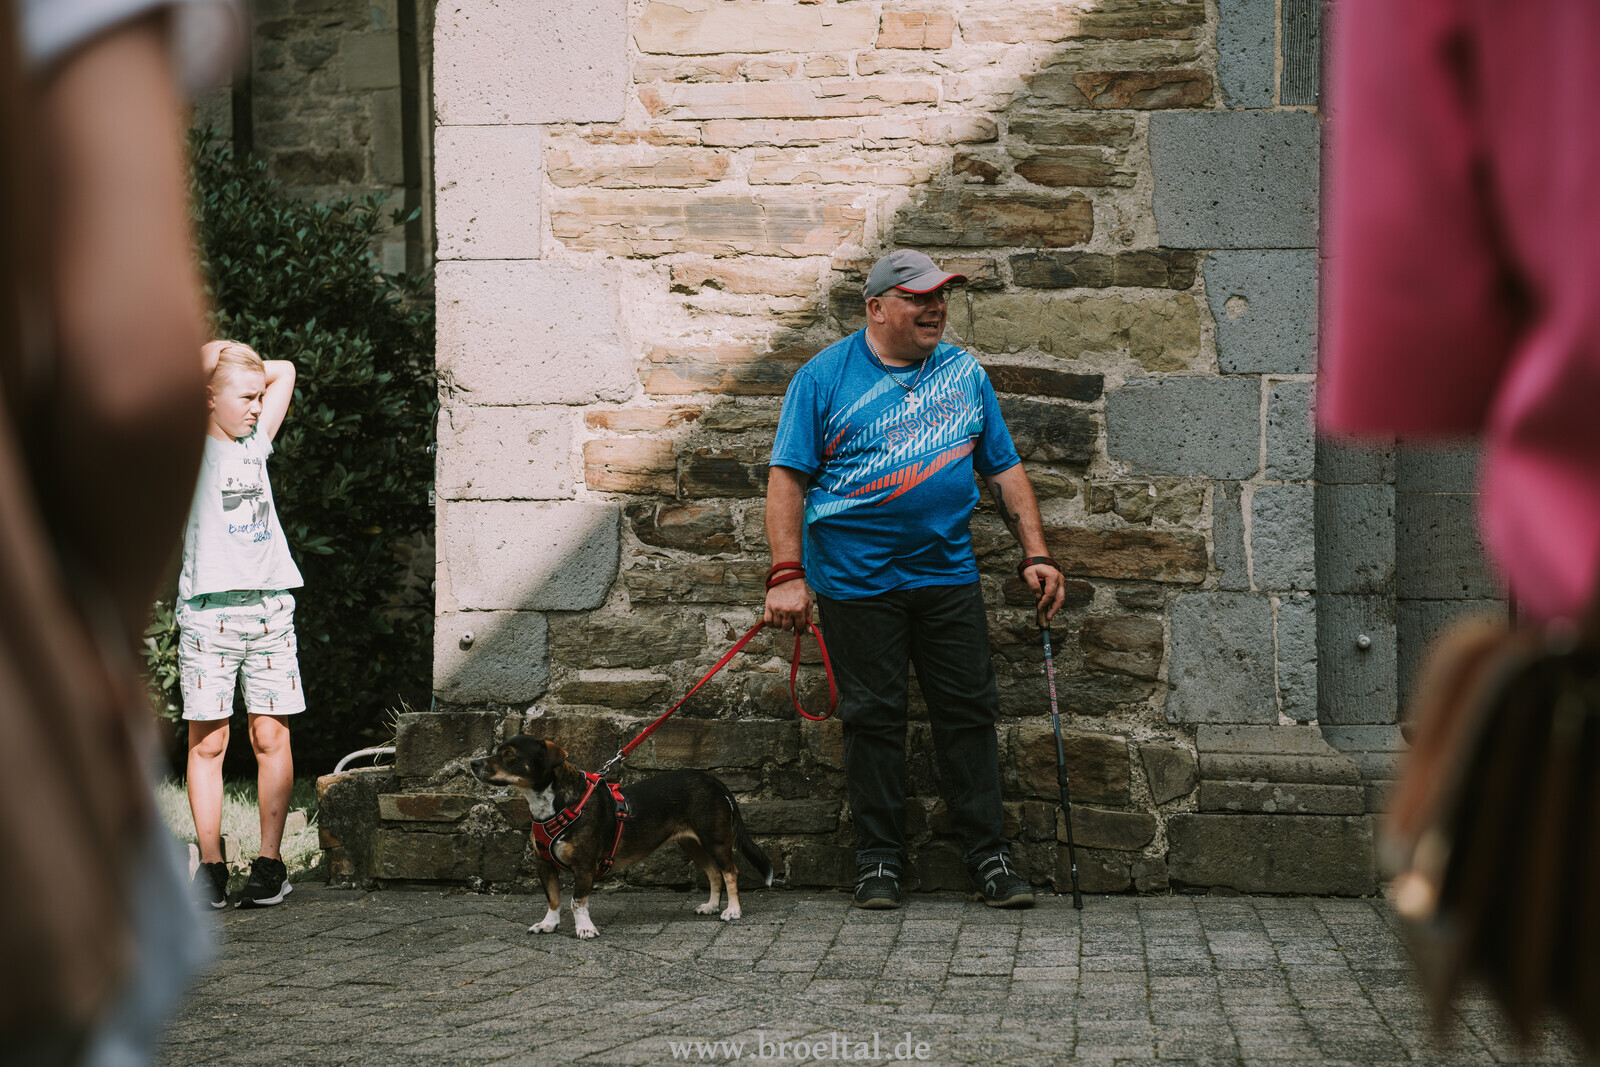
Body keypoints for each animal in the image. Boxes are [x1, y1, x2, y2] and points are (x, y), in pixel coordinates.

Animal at [470, 734, 775, 939]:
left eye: (509, 754)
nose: (473, 763)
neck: (555, 806)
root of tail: (714, 780)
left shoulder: (584, 867)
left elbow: (576, 901)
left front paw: (585, 929)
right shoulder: (543, 864)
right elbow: (553, 898)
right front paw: (549, 923)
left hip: (715, 839)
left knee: (730, 872)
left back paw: (732, 911)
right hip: (691, 842)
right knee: (714, 873)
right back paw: (711, 906)